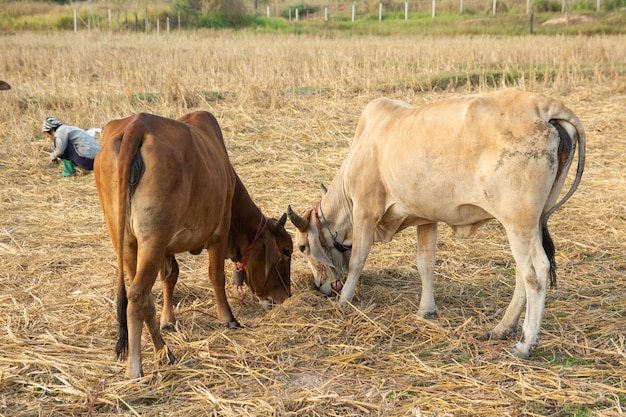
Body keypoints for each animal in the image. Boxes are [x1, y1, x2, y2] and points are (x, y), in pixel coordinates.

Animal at [94, 110, 292, 376]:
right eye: (286, 251)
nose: (286, 296)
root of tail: (137, 125)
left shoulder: (166, 248)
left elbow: (170, 277)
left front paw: (168, 320)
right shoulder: (220, 230)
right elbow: (216, 276)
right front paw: (228, 318)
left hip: (125, 240)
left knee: (144, 298)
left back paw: (164, 352)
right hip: (152, 239)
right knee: (137, 296)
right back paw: (135, 368)